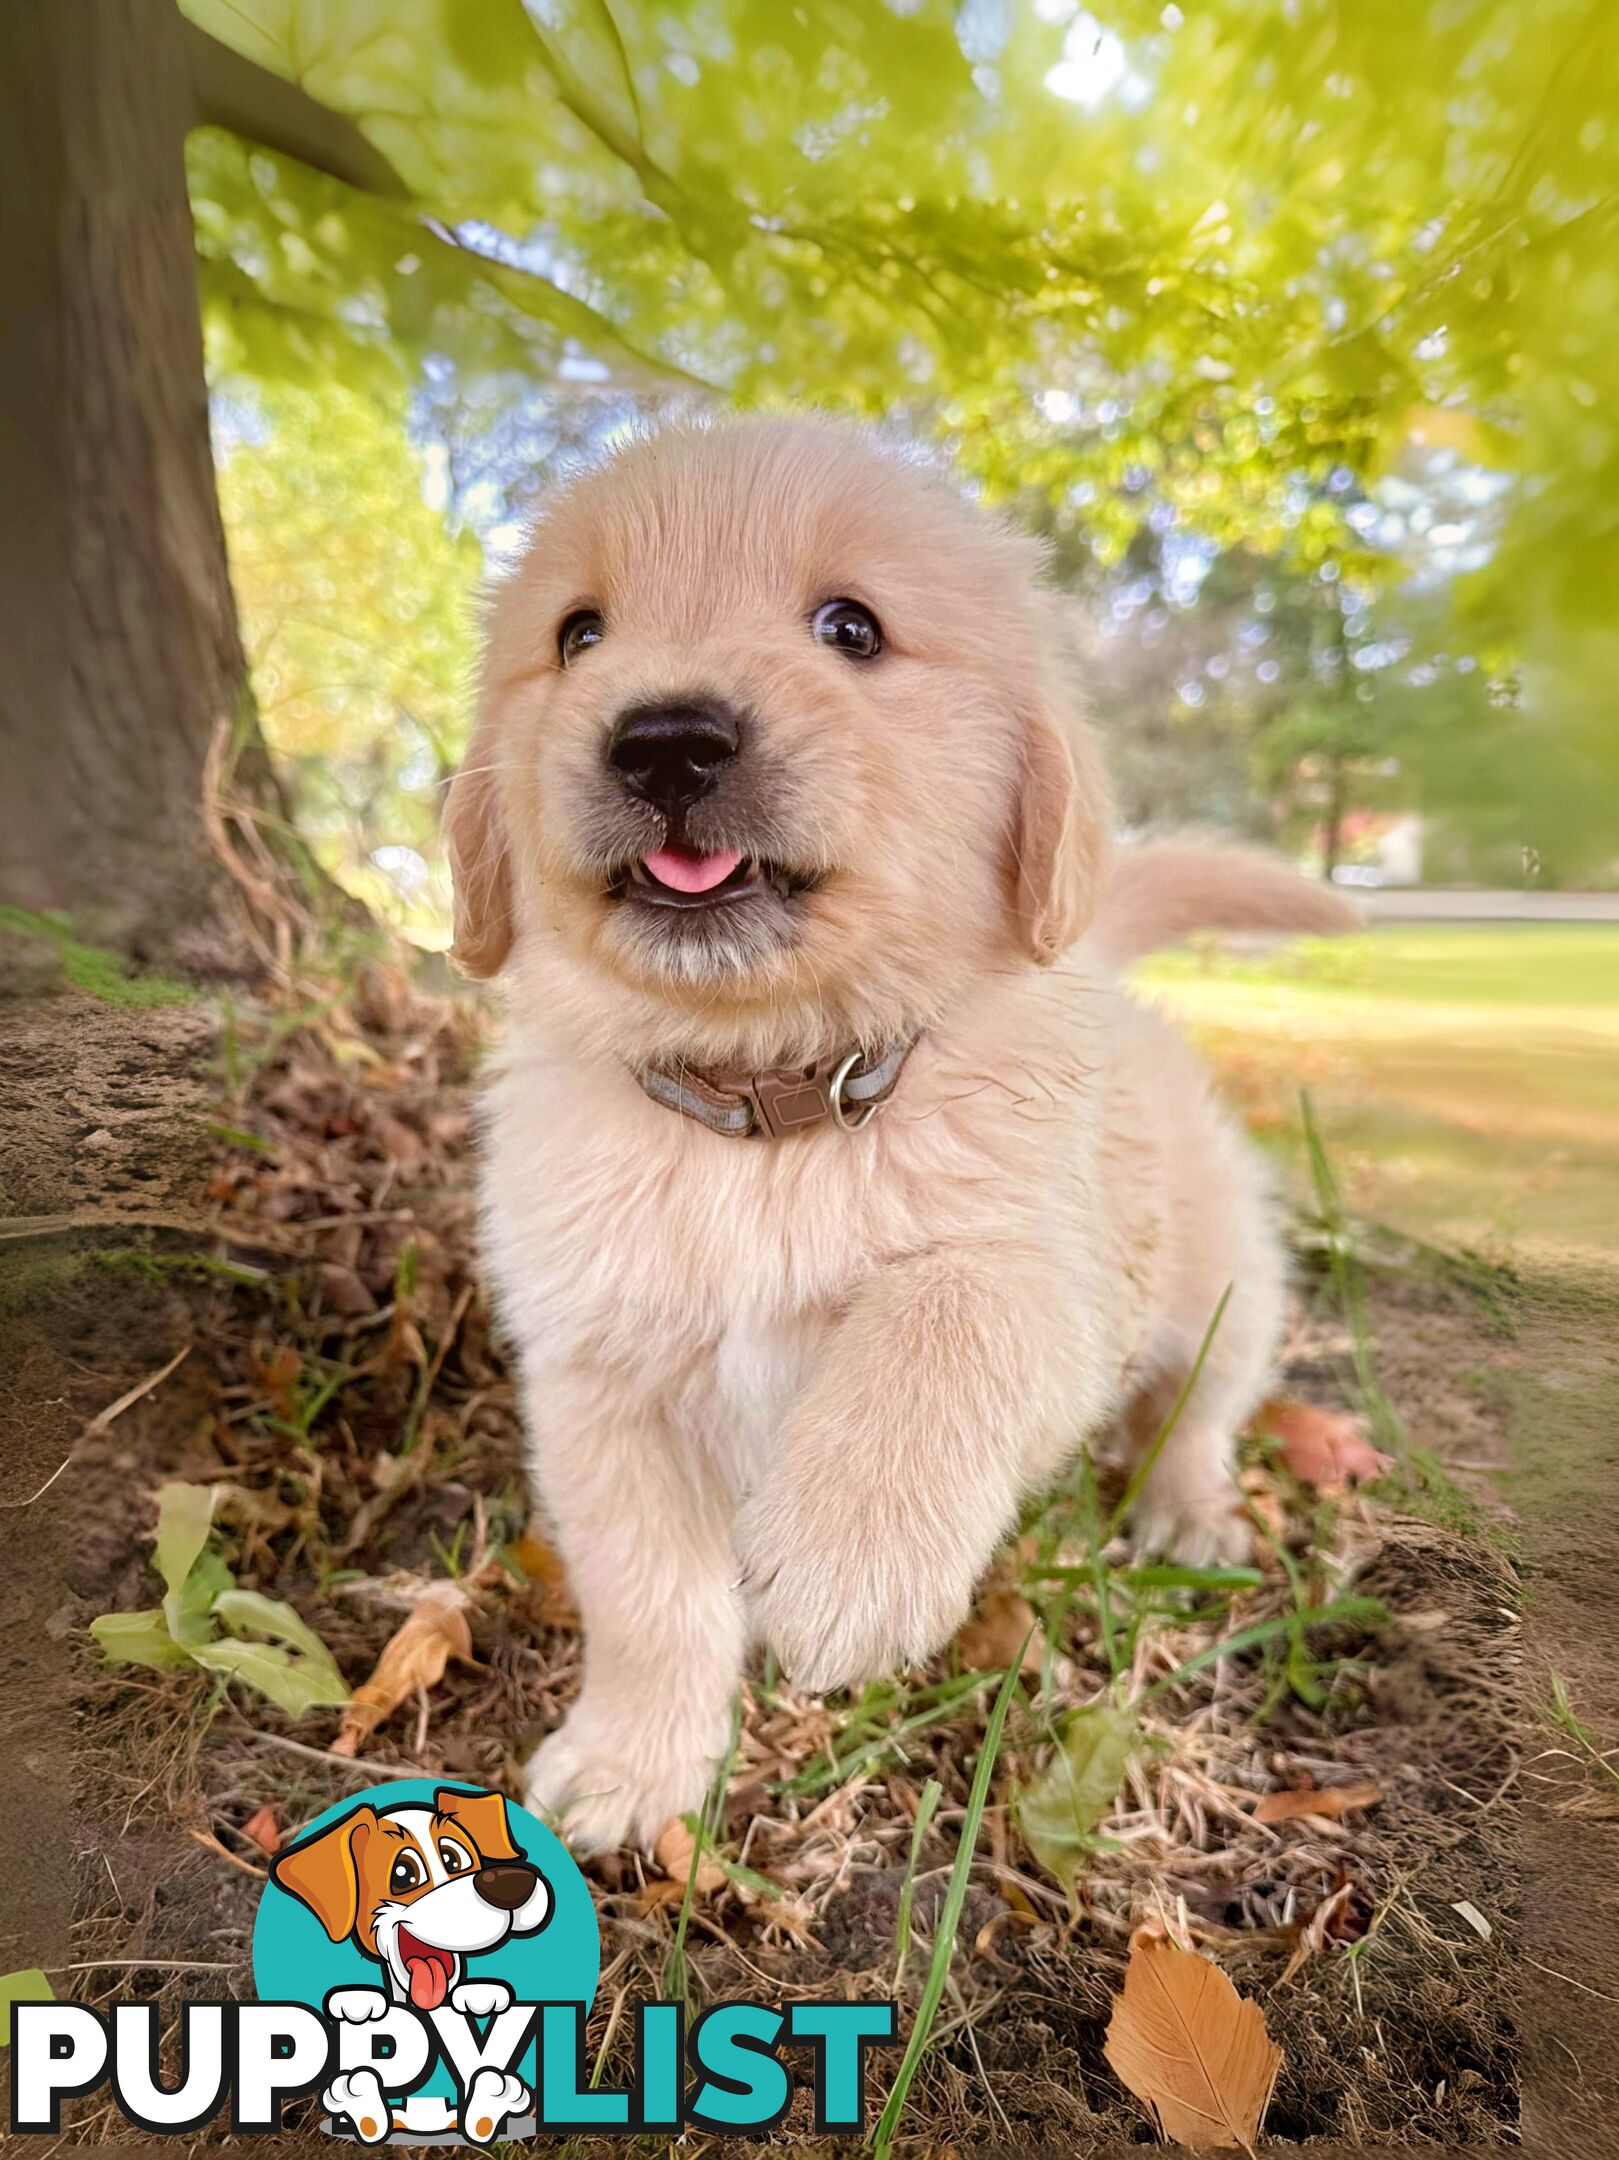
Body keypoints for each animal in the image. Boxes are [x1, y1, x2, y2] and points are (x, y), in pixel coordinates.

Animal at [451, 421, 1364, 1857]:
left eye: (851, 628)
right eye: (578, 633)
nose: (663, 742)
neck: (763, 1109)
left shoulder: (1048, 1277)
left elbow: (943, 1320)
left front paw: (847, 1559)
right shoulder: (599, 1385)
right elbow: (648, 1595)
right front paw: (630, 1763)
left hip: (1228, 1284)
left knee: (1196, 1409)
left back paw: (1187, 1512)